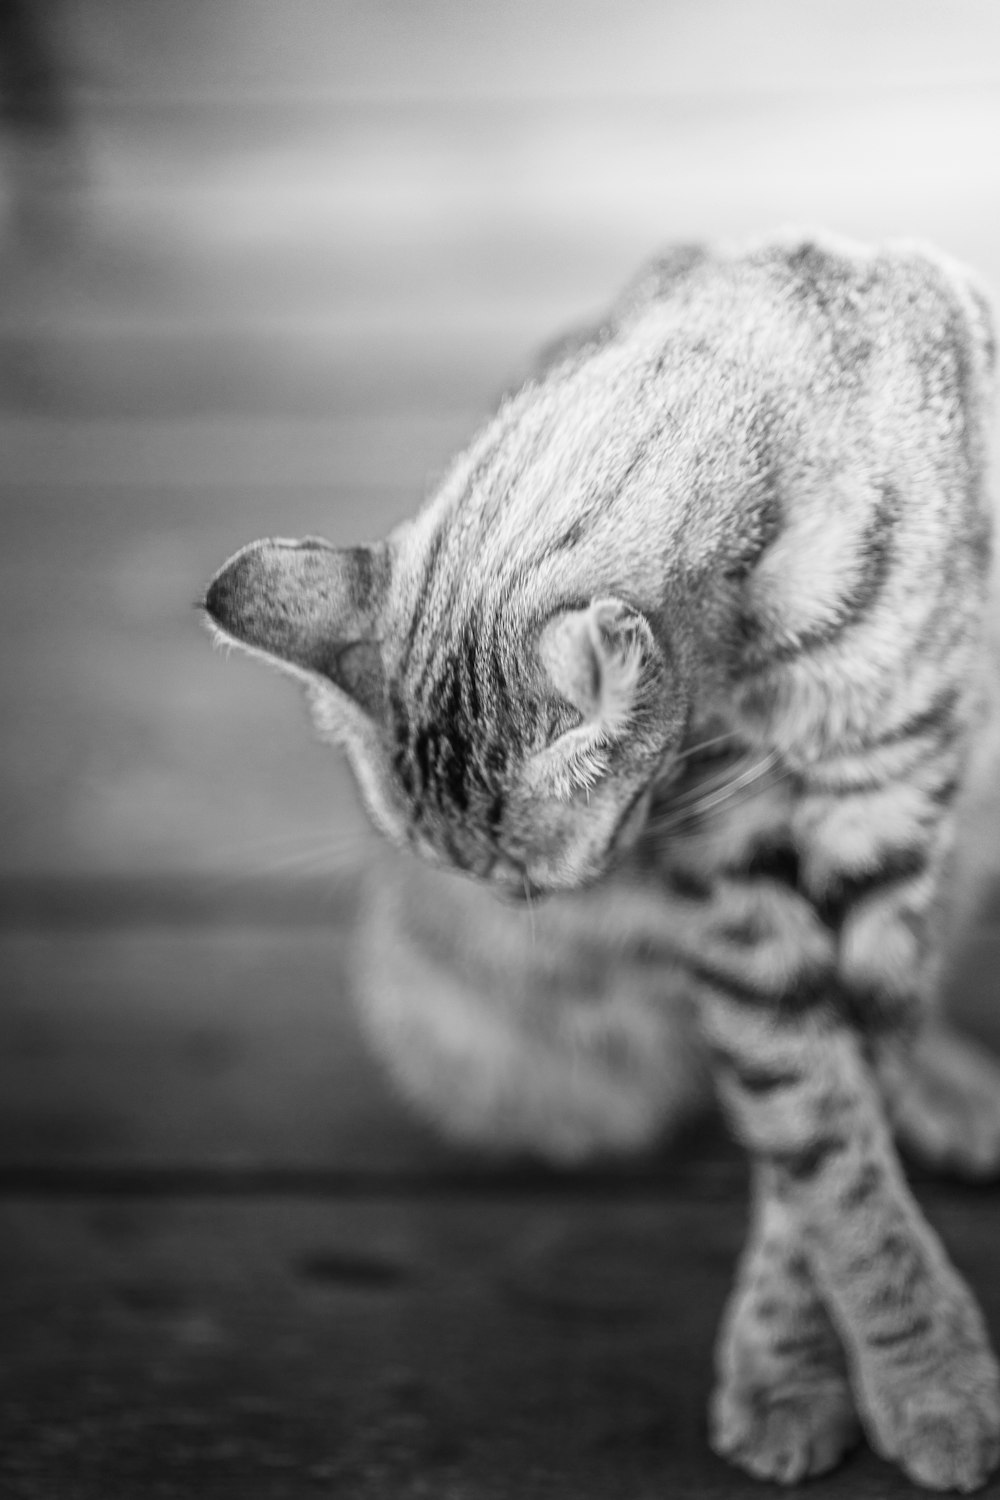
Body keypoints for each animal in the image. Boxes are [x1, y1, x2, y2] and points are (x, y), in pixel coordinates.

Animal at [203, 231, 1000, 1488]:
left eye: (540, 876)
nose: (524, 903)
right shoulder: (729, 888)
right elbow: (813, 1133)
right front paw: (826, 1376)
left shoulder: (887, 828)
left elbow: (836, 1135)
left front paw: (911, 1378)